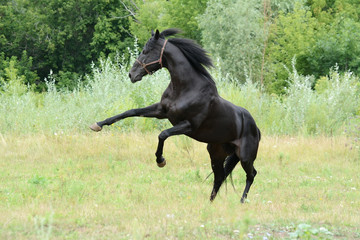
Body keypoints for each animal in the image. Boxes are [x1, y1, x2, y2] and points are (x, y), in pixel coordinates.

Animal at [88, 29, 260, 202]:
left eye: (146, 51)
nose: (131, 74)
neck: (187, 89)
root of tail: (256, 128)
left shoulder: (188, 125)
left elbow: (162, 134)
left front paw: (160, 161)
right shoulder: (161, 111)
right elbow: (131, 112)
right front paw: (98, 125)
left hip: (245, 156)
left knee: (251, 174)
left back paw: (242, 201)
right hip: (216, 154)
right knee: (219, 177)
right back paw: (210, 203)